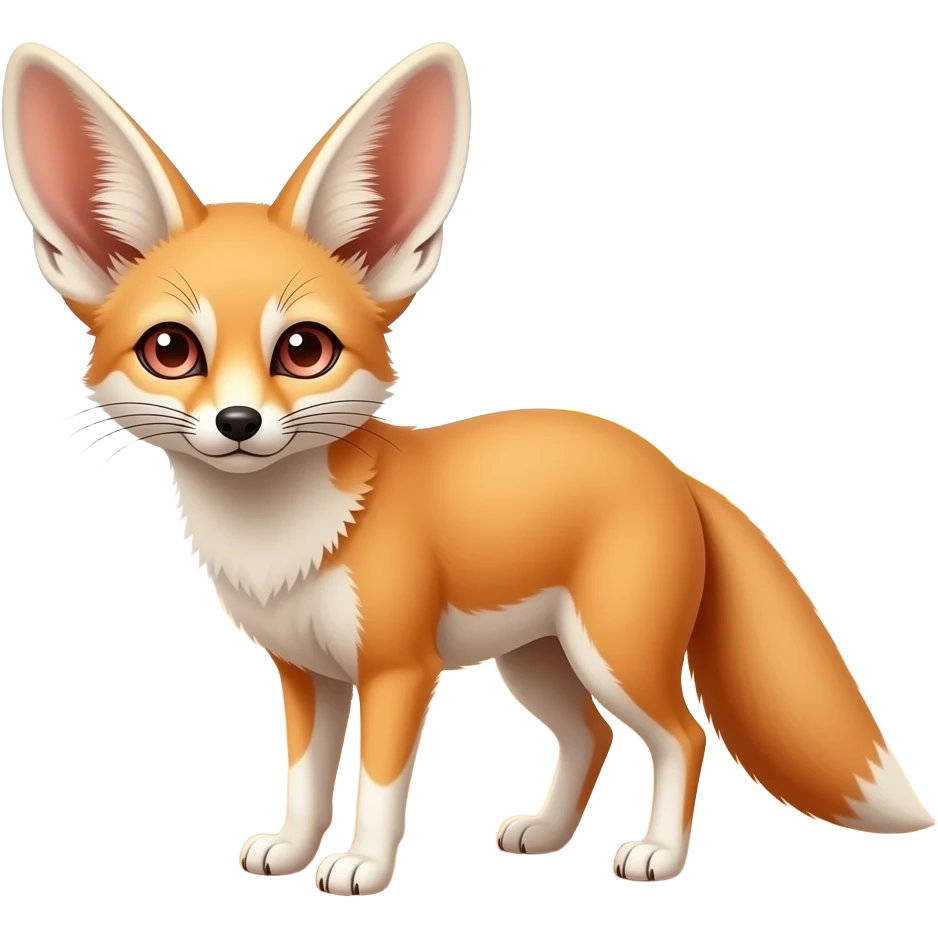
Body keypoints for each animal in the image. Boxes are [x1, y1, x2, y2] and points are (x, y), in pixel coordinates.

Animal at [4, 39, 934, 895]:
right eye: (170, 350)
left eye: (304, 350)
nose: (239, 424)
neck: (281, 541)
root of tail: (672, 467)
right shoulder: (305, 675)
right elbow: (304, 781)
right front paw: (292, 851)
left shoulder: (396, 669)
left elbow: (379, 787)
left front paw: (363, 867)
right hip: (536, 660)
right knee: (591, 735)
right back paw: (547, 834)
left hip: (612, 652)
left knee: (682, 735)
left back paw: (659, 855)